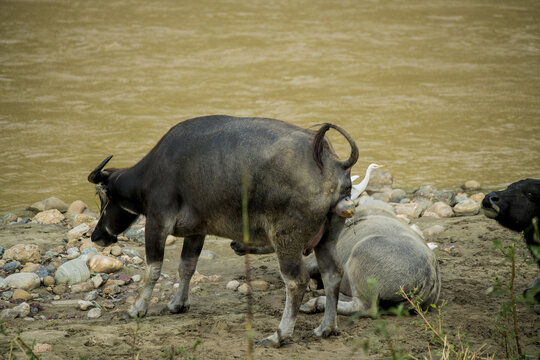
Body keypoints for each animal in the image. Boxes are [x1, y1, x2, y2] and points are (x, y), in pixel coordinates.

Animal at [87, 114, 358, 346]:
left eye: (104, 197)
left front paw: (136, 310)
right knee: (333, 273)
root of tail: (332, 163)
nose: (96, 235)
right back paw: (326, 328)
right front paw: (177, 305)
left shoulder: (157, 222)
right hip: (327, 239)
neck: (151, 175)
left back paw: (279, 335)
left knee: (296, 281)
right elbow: (186, 267)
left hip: (287, 240)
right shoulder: (197, 232)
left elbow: (152, 270)